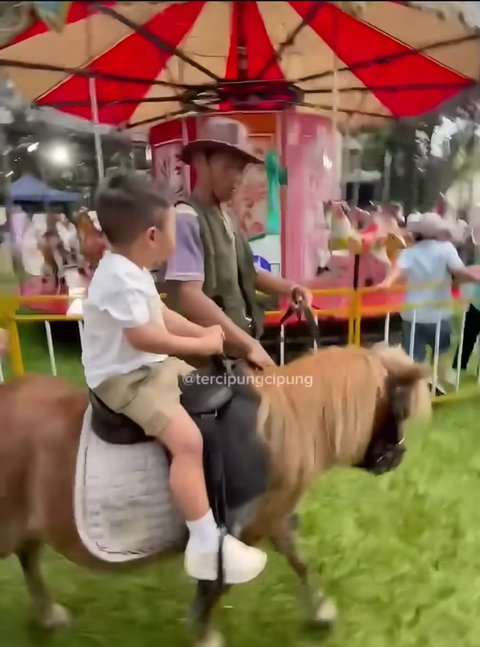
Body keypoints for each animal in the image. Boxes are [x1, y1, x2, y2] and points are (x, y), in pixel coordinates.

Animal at [0, 346, 430, 644]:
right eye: (399, 407)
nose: (398, 455)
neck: (280, 426)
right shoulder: (240, 528)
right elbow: (218, 583)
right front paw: (206, 635)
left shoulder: (271, 516)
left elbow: (298, 559)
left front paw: (322, 610)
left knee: (29, 557)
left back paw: (48, 614)